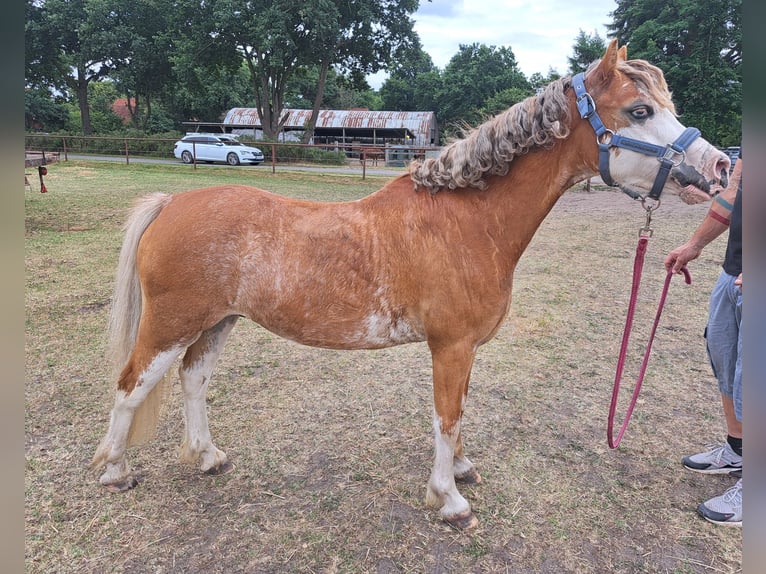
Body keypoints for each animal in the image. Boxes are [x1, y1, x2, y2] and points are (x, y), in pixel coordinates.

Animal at [91, 41, 729, 530]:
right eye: (640, 111)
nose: (719, 167)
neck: (467, 221)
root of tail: (172, 202)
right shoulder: (450, 346)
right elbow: (446, 417)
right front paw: (450, 500)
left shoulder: (464, 349)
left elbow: (460, 412)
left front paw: (463, 471)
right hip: (171, 324)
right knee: (130, 386)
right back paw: (115, 471)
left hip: (216, 322)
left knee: (193, 380)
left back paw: (207, 457)